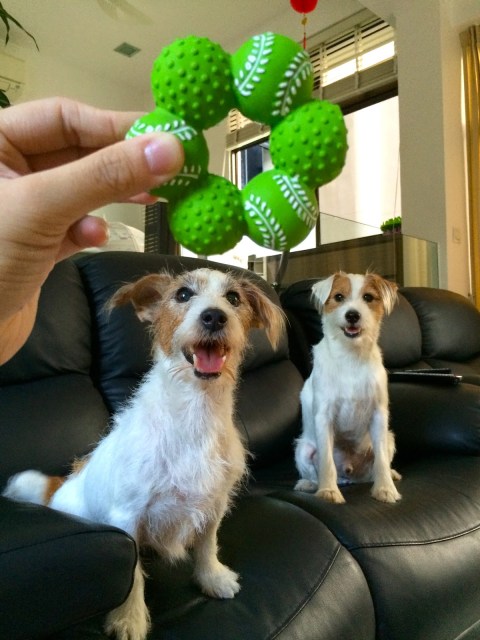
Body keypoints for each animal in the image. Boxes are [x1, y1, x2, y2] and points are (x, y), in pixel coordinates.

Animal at [3, 267, 284, 640]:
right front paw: (129, 618)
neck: (196, 410)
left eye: (233, 298)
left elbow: (207, 544)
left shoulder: (214, 503)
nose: (214, 316)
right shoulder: (127, 516)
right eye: (183, 295)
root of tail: (59, 489)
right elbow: (132, 571)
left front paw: (211, 577)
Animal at [294, 271, 401, 504]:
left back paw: (390, 475)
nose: (352, 315)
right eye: (339, 297)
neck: (351, 356)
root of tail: (349, 474)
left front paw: (385, 488)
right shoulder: (324, 416)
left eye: (368, 297)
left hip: (389, 438)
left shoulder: (379, 415)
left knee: (377, 466)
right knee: (313, 472)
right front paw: (328, 491)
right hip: (302, 449)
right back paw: (309, 484)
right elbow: (326, 461)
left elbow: (381, 460)